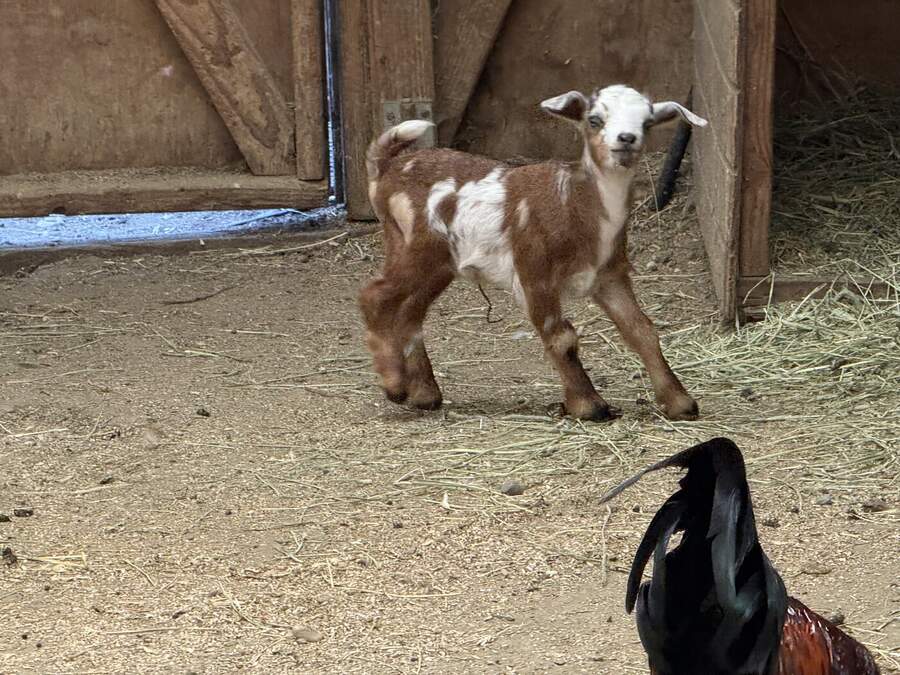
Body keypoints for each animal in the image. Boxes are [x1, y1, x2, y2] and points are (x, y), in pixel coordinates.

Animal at [359, 85, 707, 421]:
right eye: (594, 119)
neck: (575, 202)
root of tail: (386, 169)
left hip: (437, 261)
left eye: (647, 123)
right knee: (375, 295)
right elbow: (561, 337)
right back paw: (394, 385)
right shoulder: (534, 270)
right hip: (417, 246)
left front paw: (680, 402)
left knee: (410, 311)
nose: (626, 139)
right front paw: (589, 406)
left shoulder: (610, 276)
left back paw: (424, 394)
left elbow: (641, 330)